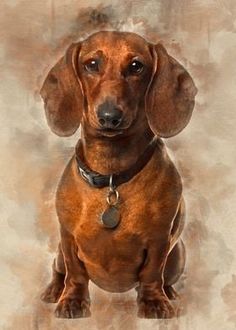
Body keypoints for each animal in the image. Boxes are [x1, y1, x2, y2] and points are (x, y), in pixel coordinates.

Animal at [40, 29, 197, 318]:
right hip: (58, 252)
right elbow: (75, 274)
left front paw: (154, 302)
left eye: (136, 66)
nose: (109, 116)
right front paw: (72, 301)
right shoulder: (67, 239)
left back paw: (168, 292)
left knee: (165, 277)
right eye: (91, 64)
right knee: (59, 271)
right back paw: (54, 290)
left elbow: (151, 273)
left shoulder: (160, 241)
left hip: (178, 254)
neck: (112, 177)